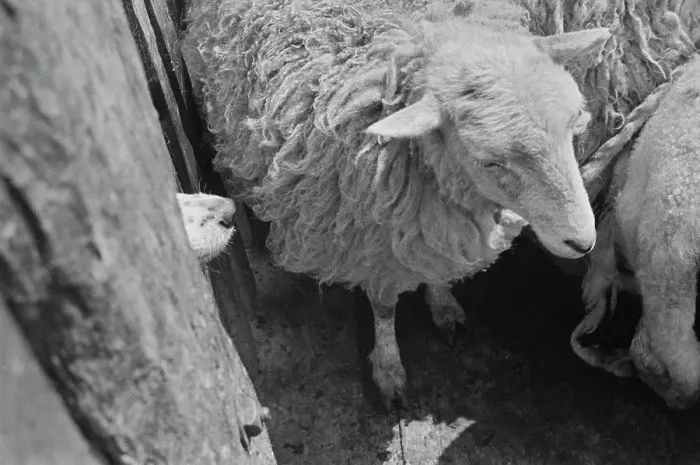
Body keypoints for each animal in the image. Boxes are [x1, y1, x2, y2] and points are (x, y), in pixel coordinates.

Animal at [184, 0, 601, 408]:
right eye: (489, 161)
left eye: (572, 127)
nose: (583, 242)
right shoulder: (371, 241)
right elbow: (384, 305)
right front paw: (388, 369)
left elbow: (435, 267)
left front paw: (442, 302)